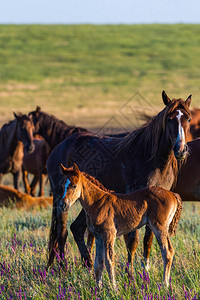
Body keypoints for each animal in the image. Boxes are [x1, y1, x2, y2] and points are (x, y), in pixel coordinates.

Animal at [44, 89, 191, 270]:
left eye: (188, 118)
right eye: (169, 119)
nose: (181, 149)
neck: (152, 159)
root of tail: (58, 148)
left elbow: (148, 239)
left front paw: (145, 269)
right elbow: (133, 240)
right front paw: (130, 270)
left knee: (76, 229)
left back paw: (88, 263)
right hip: (62, 199)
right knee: (62, 232)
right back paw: (63, 266)